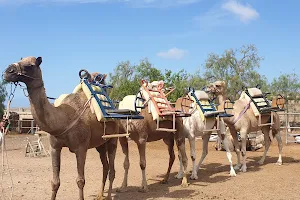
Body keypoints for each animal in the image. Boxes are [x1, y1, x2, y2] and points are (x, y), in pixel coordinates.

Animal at [3, 56, 119, 200]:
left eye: (30, 65)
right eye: (20, 59)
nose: (8, 71)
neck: (63, 119)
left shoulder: (81, 148)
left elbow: (80, 181)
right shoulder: (54, 147)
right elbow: (55, 182)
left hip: (113, 139)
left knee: (112, 169)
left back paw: (108, 196)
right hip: (100, 144)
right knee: (105, 166)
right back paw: (99, 194)